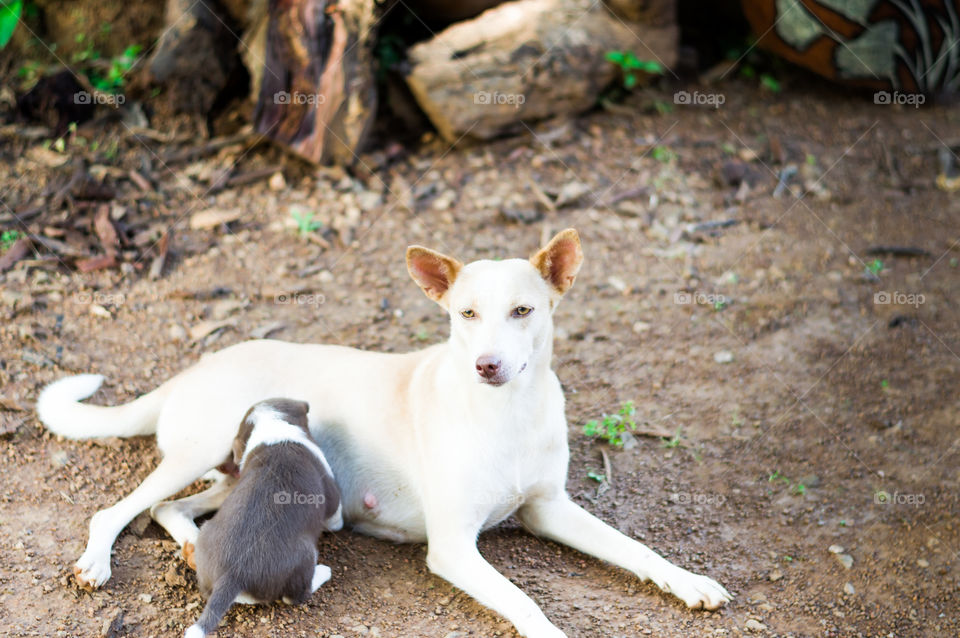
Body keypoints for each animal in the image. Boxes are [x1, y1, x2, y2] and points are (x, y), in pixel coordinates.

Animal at [183, 398, 342, 636]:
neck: (273, 425)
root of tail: (233, 575)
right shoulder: (333, 499)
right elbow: (336, 517)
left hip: (204, 537)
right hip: (306, 555)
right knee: (295, 596)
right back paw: (322, 572)